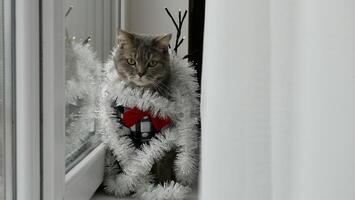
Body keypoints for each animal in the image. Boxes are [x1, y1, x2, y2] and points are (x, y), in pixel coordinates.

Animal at [113, 30, 176, 184]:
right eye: (131, 61)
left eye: (152, 63)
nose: (140, 73)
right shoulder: (125, 132)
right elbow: (127, 160)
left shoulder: (164, 133)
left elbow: (163, 162)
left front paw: (164, 185)